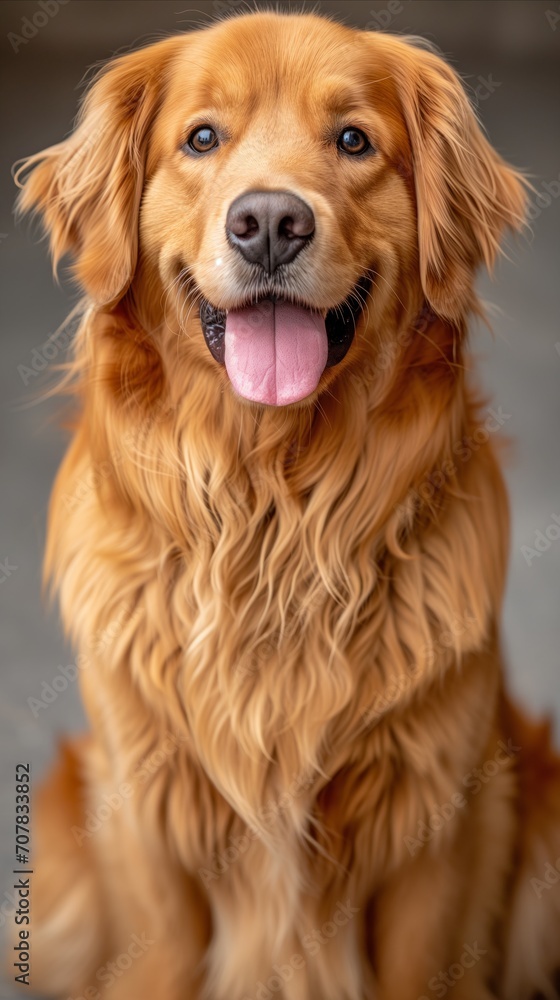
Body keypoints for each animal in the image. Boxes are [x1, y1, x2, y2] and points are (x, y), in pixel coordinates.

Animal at [13, 9, 560, 1000]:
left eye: (353, 141)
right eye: (201, 138)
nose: (270, 223)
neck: (272, 516)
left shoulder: (436, 813)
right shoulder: (145, 812)